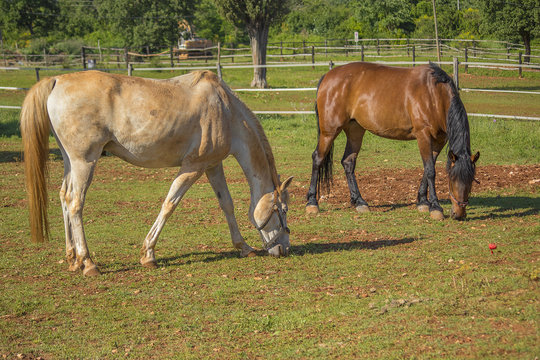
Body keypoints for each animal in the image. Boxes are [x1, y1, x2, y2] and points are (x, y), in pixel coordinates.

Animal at [21, 69, 294, 276]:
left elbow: (226, 204)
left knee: (63, 196)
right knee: (75, 202)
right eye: (282, 210)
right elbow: (169, 204)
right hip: (84, 162)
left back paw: (73, 259)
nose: (285, 249)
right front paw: (148, 254)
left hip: (71, 161)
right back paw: (88, 263)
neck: (225, 110)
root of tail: (58, 80)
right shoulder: (193, 167)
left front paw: (243, 246)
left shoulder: (212, 165)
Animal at [306, 62, 478, 219]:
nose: (459, 214)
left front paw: (423, 202)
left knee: (348, 162)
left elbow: (428, 169)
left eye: (471, 180)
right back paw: (312, 203)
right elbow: (430, 171)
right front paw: (435, 207)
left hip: (355, 131)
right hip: (329, 132)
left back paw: (360, 202)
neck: (434, 95)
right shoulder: (423, 136)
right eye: (452, 178)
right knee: (318, 158)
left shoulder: (439, 140)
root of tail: (328, 76)